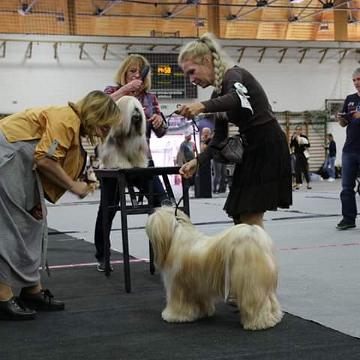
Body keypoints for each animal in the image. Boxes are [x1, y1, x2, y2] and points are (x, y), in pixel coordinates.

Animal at [145, 207, 282, 330]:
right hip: (264, 284)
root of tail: (256, 240)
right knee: (271, 301)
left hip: (251, 285)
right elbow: (201, 301)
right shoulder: (198, 287)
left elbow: (179, 303)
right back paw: (274, 318)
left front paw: (173, 316)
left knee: (257, 304)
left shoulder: (178, 286)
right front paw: (202, 313)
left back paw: (258, 323)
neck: (177, 235)